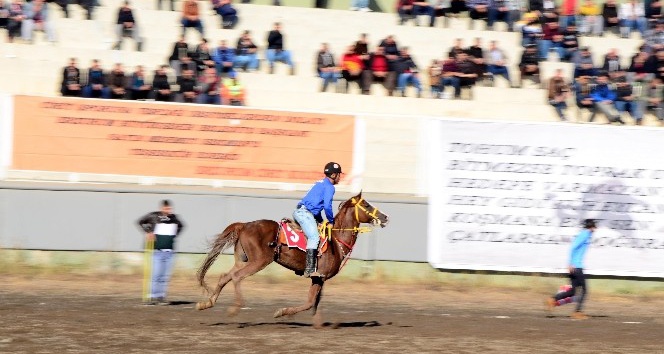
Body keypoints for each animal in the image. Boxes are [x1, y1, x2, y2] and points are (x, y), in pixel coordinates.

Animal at [195, 192, 390, 328]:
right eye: (366, 204)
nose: (385, 217)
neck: (335, 240)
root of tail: (244, 225)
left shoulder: (320, 278)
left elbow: (315, 302)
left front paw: (318, 324)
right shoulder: (318, 277)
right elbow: (310, 302)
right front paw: (282, 312)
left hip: (242, 260)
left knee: (225, 276)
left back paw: (206, 303)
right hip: (258, 262)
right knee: (236, 277)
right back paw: (234, 308)